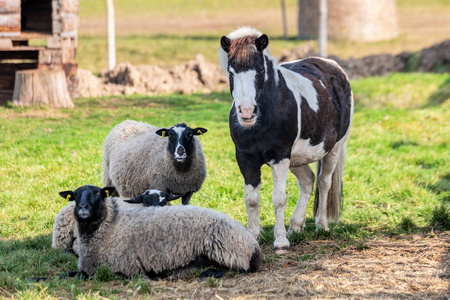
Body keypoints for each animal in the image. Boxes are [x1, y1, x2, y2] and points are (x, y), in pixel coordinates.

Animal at [60, 185, 264, 278]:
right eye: (75, 195)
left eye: (97, 193)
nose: (83, 208)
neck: (110, 229)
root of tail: (253, 245)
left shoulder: (118, 268)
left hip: (223, 249)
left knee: (238, 269)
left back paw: (207, 273)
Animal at [220, 27, 354, 253]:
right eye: (231, 72)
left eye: (260, 71)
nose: (246, 112)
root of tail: (334, 67)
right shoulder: (245, 158)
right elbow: (251, 200)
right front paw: (253, 237)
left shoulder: (280, 157)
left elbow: (279, 199)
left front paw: (281, 242)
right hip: (297, 159)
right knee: (308, 181)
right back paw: (295, 226)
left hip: (334, 148)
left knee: (323, 182)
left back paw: (321, 225)